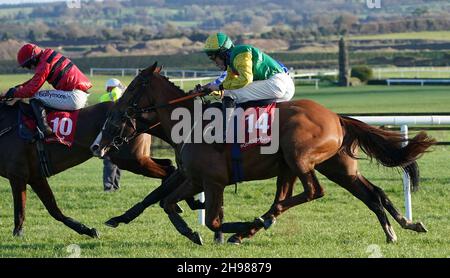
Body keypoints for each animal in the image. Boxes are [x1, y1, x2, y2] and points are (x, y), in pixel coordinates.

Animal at [0, 101, 174, 238]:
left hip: (131, 160)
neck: (6, 126)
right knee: (170, 165)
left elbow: (20, 209)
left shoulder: (18, 175)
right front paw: (87, 230)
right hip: (137, 159)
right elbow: (54, 210)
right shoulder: (35, 177)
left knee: (169, 171)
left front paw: (18, 233)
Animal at [95, 63, 436, 245]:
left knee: (312, 192)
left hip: (300, 159)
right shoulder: (192, 177)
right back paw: (399, 228)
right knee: (373, 193)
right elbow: (163, 200)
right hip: (334, 167)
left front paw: (226, 230)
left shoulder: (212, 180)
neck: (190, 122)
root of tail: (336, 116)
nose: (99, 143)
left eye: (132, 89)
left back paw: (255, 224)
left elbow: (213, 220)